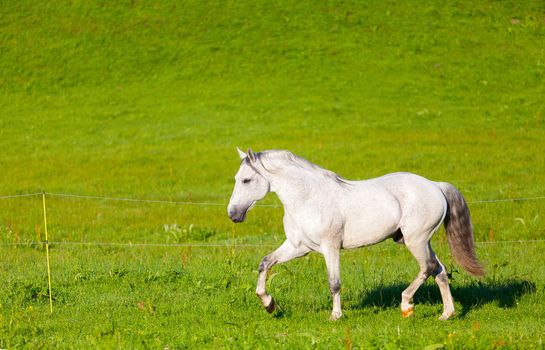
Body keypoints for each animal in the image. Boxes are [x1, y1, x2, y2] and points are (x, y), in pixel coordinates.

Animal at [227, 148, 482, 320]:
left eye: (246, 180)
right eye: (237, 179)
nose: (233, 214)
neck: (308, 198)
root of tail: (436, 185)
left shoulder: (330, 247)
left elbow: (334, 283)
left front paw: (335, 316)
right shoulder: (297, 246)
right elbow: (265, 263)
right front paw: (269, 304)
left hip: (415, 240)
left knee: (427, 268)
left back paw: (406, 305)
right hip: (421, 241)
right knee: (439, 270)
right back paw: (447, 314)